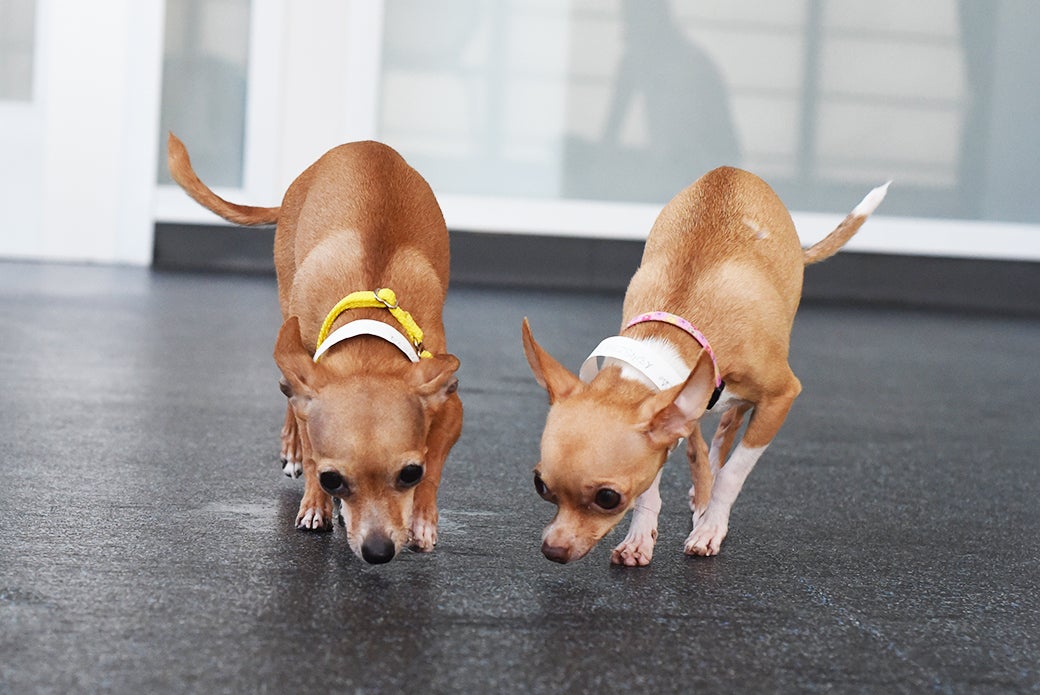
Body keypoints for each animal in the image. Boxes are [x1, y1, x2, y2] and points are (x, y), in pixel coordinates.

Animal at [167, 134, 463, 565]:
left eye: (410, 473)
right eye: (332, 479)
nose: (378, 550)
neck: (368, 345)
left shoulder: (448, 404)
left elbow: (436, 461)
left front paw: (422, 519)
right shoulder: (308, 375)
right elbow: (309, 447)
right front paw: (314, 503)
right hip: (288, 309)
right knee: (290, 395)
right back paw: (292, 446)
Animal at [522, 166, 888, 565]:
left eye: (607, 498)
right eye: (541, 486)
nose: (552, 550)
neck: (671, 333)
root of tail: (731, 170)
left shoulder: (781, 397)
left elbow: (733, 473)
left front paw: (711, 526)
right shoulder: (673, 412)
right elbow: (657, 480)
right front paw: (640, 537)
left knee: (729, 426)